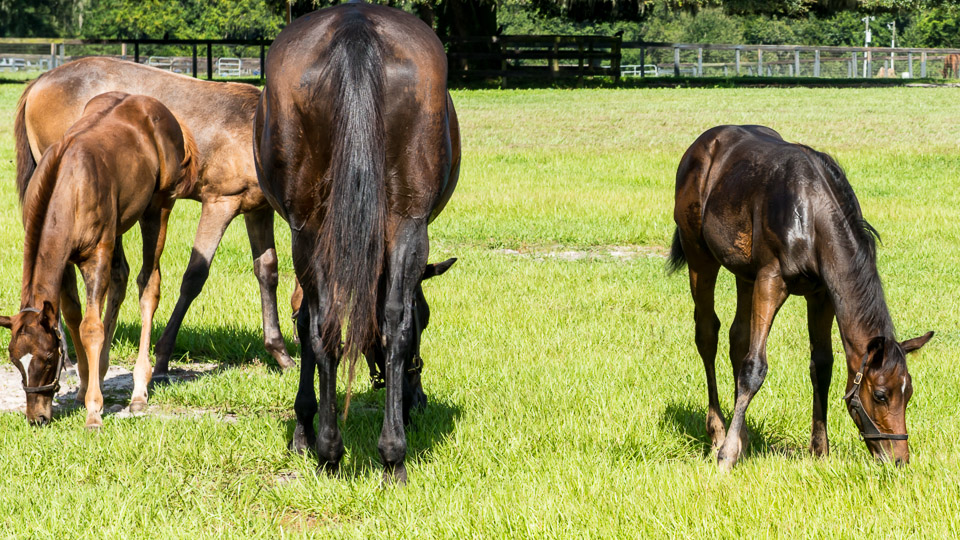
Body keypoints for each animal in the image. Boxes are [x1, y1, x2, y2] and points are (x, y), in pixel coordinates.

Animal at [3, 94, 199, 430]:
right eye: (16, 360)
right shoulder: (65, 261)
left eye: (48, 358)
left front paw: (93, 411)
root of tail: (155, 106)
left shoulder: (95, 255)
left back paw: (139, 391)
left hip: (158, 207)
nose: (37, 417)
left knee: (149, 285)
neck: (68, 185)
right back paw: (104, 371)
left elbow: (91, 327)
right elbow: (71, 315)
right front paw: (84, 387)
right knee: (121, 278)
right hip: (118, 225)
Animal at [15, 56, 296, 376]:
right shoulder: (219, 203)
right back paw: (68, 361)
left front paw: (280, 353)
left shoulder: (258, 211)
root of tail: (40, 81)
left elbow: (267, 271)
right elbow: (194, 276)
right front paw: (162, 357)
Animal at [255, 2, 462, 484]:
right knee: (382, 323)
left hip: (316, 229)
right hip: (404, 224)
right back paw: (386, 455)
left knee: (330, 323)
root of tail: (355, 25)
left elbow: (305, 323)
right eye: (429, 320)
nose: (417, 401)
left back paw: (338, 452)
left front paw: (304, 431)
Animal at [668, 124, 928, 470]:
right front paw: (726, 455)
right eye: (881, 395)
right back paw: (718, 434)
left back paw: (743, 436)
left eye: (908, 393)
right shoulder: (771, 280)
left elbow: (822, 365)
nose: (899, 460)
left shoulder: (821, 295)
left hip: (744, 274)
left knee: (738, 338)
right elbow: (755, 367)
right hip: (700, 258)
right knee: (707, 334)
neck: (810, 213)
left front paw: (820, 449)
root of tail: (703, 143)